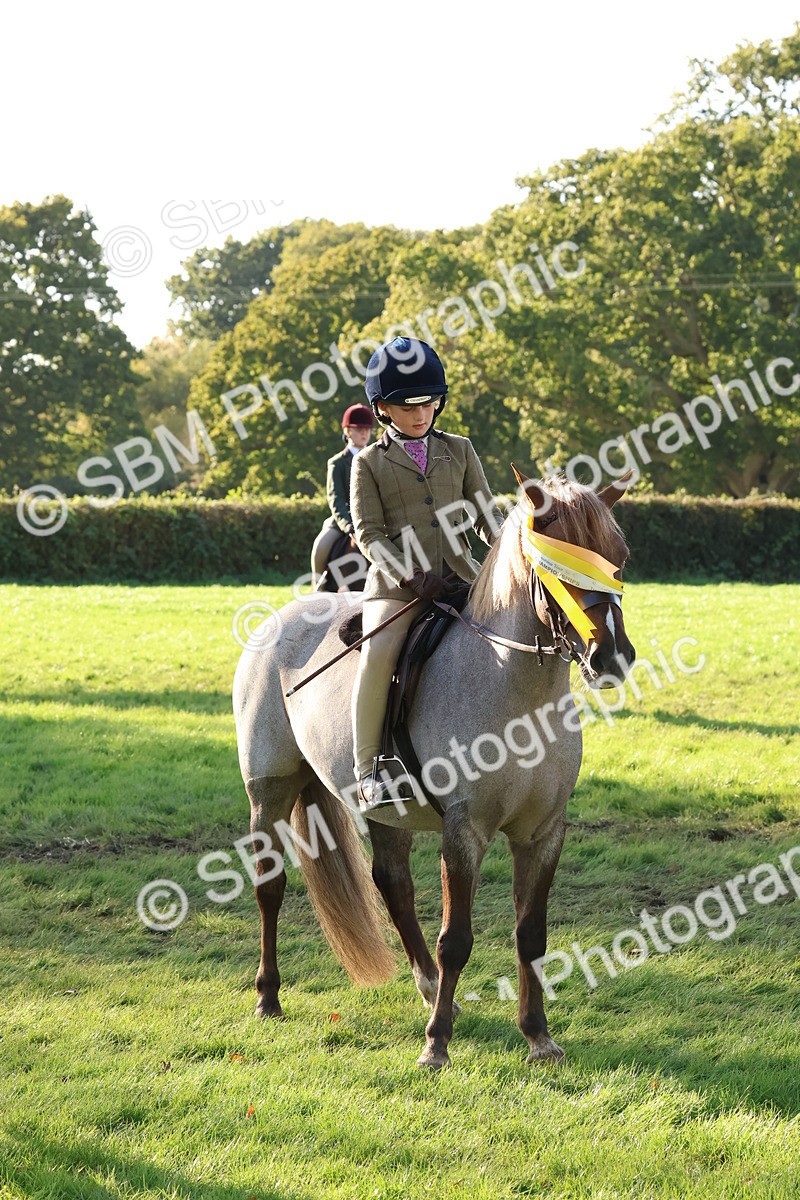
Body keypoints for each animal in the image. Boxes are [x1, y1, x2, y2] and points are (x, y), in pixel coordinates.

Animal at [232, 470, 635, 1069]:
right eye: (555, 564)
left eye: (618, 559)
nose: (611, 657)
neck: (513, 687)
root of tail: (279, 621)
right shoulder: (463, 830)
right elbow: (457, 939)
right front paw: (436, 1044)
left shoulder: (543, 833)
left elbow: (531, 934)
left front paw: (538, 1036)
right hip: (270, 792)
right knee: (270, 884)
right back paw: (268, 996)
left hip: (384, 810)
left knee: (392, 882)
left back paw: (426, 988)